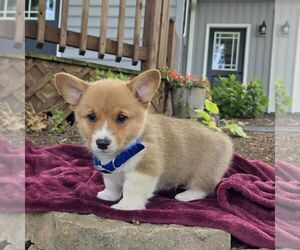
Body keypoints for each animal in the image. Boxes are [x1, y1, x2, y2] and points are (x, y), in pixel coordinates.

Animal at [54, 70, 232, 211]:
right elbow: (111, 183)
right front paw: (108, 195)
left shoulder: (144, 169)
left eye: (121, 117)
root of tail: (224, 138)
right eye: (91, 116)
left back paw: (186, 195)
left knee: (203, 187)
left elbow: (131, 189)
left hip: (205, 171)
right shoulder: (111, 171)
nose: (102, 143)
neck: (123, 151)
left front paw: (126, 206)